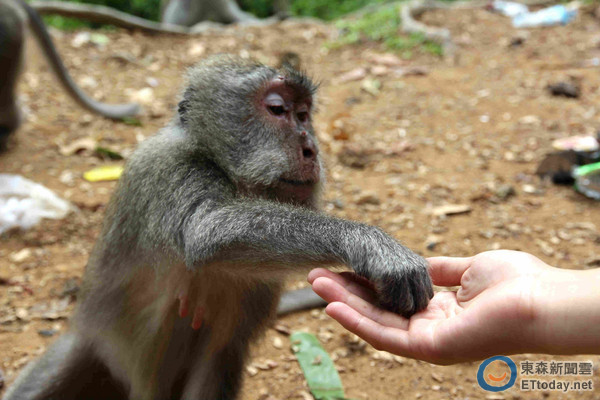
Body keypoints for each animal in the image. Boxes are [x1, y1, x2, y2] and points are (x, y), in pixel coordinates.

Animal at [5, 54, 436, 400]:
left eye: (304, 114)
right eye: (277, 109)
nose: (311, 148)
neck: (224, 171)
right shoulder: (171, 172)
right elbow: (204, 232)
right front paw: (370, 245)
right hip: (88, 348)